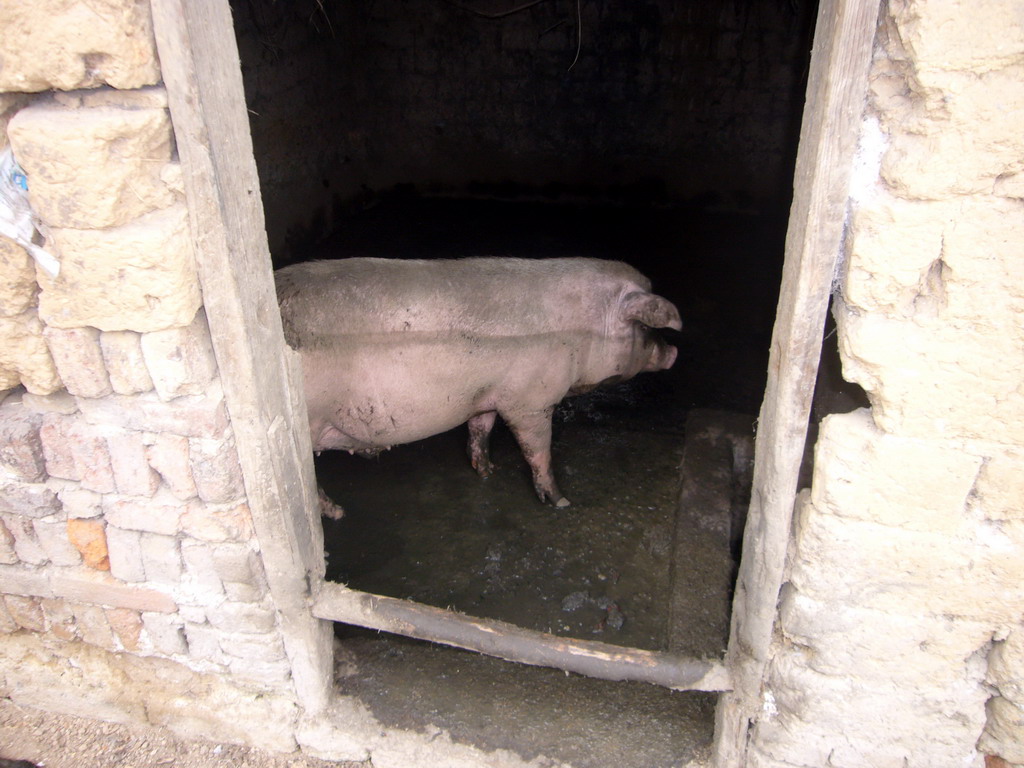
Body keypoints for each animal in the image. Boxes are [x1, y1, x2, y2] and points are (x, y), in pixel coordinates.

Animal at [276, 259, 684, 512]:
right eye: (644, 328)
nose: (675, 352)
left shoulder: (487, 395)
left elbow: (480, 429)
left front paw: (488, 472)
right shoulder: (531, 399)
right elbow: (538, 450)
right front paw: (560, 502)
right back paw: (338, 512)